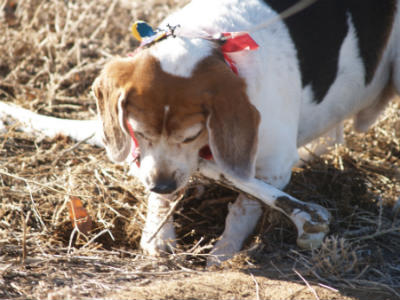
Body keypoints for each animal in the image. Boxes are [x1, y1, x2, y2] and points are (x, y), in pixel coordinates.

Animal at [0, 0, 400, 264]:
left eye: (191, 135)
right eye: (138, 130)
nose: (161, 184)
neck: (217, 47)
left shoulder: (272, 167)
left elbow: (245, 205)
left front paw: (226, 251)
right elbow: (165, 198)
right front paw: (158, 233)